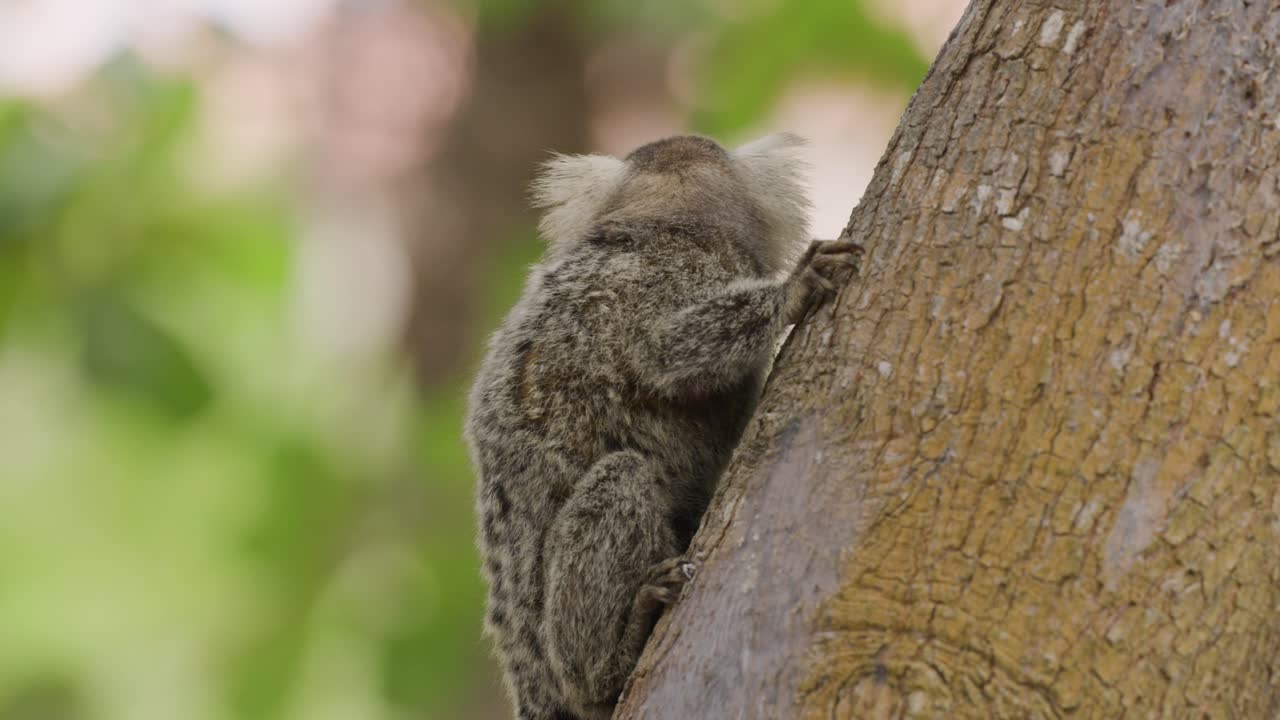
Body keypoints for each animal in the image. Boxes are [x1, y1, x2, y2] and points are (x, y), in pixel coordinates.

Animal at [463, 133, 861, 720]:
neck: (668, 226)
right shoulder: (674, 274)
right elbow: (663, 350)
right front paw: (791, 292)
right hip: (560, 653)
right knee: (622, 476)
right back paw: (614, 657)